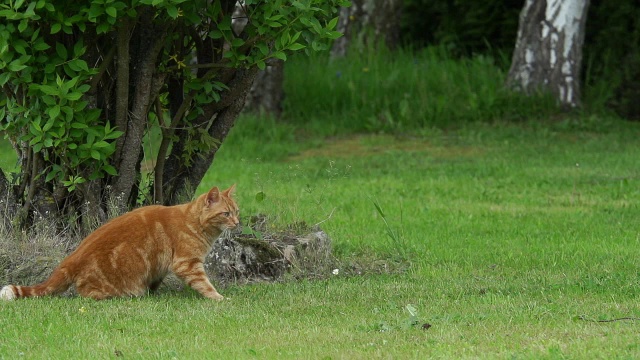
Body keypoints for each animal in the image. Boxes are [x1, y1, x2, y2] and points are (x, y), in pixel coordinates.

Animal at [0, 186, 240, 300]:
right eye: (226, 213)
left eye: (237, 212)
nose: (238, 223)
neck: (194, 221)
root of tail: (70, 259)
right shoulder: (187, 263)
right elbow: (205, 284)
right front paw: (219, 298)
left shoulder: (162, 267)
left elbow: (156, 280)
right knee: (85, 292)